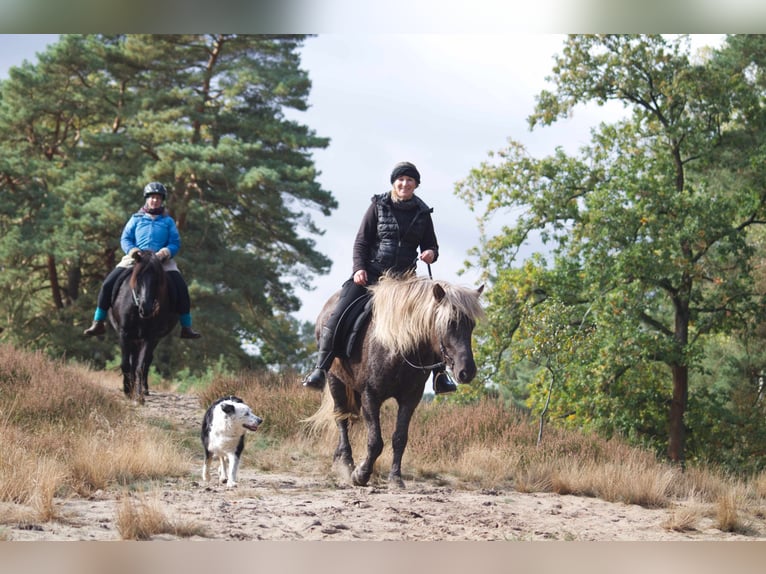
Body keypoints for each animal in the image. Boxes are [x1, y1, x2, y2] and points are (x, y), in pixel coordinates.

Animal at [109, 251, 178, 404]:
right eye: (138, 277)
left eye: (157, 279)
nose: (146, 309)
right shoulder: (124, 334)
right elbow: (126, 364)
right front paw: (127, 391)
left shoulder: (149, 337)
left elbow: (140, 366)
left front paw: (139, 395)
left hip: (152, 339)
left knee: (145, 362)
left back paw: (143, 389)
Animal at [308, 274, 484, 490]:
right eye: (450, 322)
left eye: (472, 325)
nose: (467, 372)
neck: (397, 346)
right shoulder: (370, 396)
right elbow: (375, 441)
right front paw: (361, 474)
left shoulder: (410, 399)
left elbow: (399, 438)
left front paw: (395, 478)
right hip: (336, 380)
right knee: (342, 418)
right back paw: (347, 463)